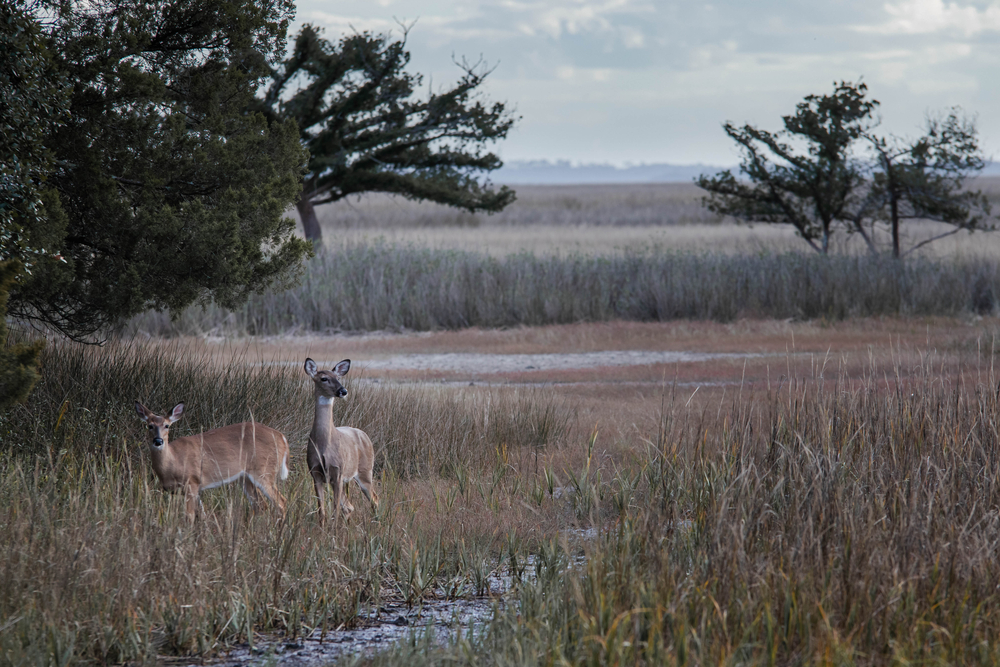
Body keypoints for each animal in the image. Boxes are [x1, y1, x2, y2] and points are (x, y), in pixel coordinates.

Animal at [133, 400, 290, 524]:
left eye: (167, 425)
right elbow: (202, 515)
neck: (174, 461)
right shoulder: (195, 489)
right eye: (149, 425)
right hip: (245, 477)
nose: (158, 441)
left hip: (263, 471)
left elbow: (189, 516)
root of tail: (282, 437)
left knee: (281, 502)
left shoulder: (192, 482)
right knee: (260, 506)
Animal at [300, 360, 378, 528]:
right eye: (323, 378)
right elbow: (322, 511)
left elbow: (334, 511)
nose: (343, 391)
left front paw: (333, 531)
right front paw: (323, 530)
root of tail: (364, 435)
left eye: (338, 377)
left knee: (375, 499)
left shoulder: (337, 471)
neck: (324, 446)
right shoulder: (316, 472)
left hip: (365, 470)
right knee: (349, 506)